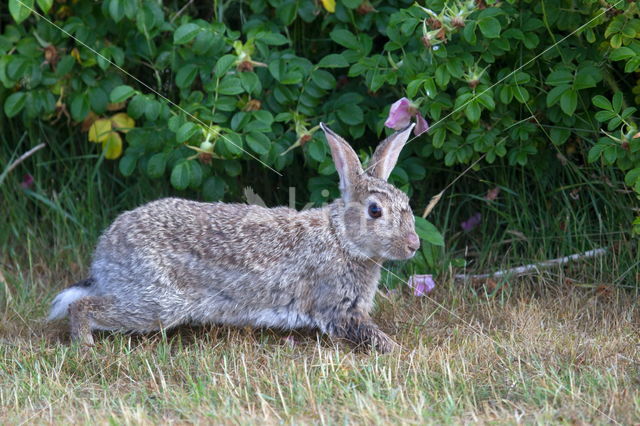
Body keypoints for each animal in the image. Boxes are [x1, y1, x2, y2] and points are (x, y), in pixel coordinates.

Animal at [50, 121, 420, 352]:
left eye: (407, 202)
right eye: (375, 211)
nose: (413, 245)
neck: (341, 238)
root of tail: (103, 255)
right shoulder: (338, 308)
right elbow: (368, 334)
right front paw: (400, 351)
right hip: (157, 301)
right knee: (82, 306)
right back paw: (85, 346)